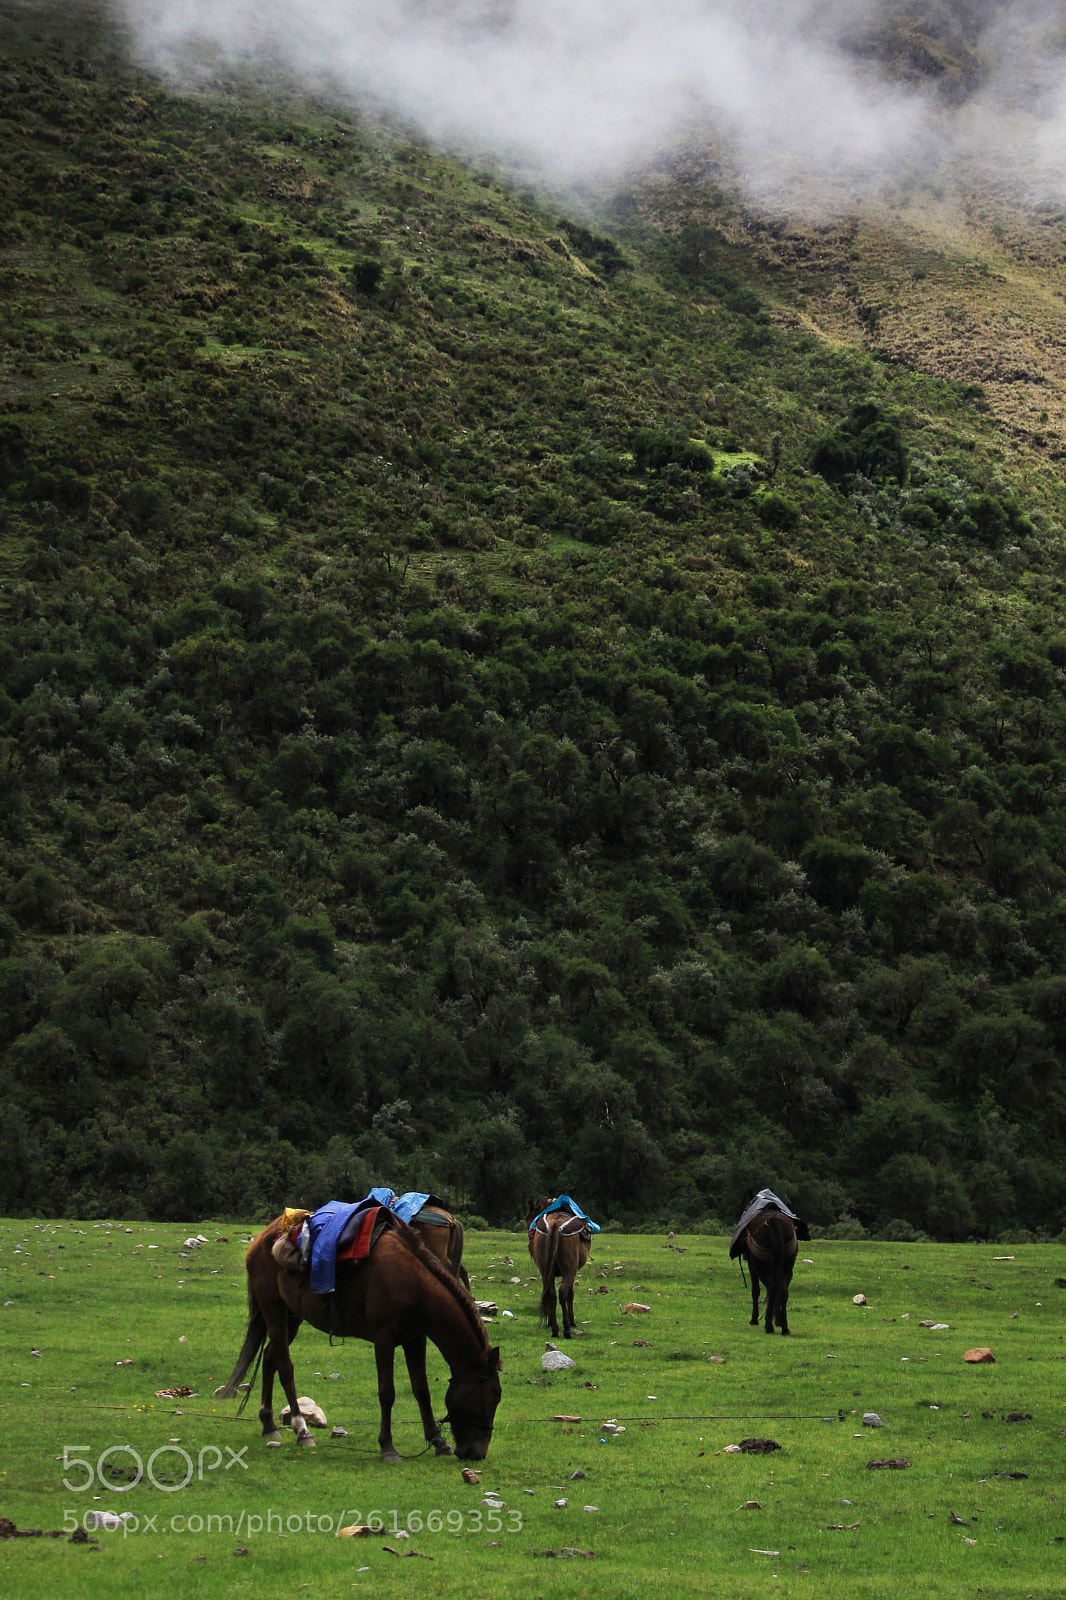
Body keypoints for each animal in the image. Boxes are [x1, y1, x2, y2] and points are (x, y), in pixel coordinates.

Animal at [215, 1211, 501, 1462]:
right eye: (492, 1398)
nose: (477, 1454)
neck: (413, 1282)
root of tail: (262, 1239)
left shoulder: (415, 1338)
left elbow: (422, 1390)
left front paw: (438, 1442)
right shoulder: (384, 1337)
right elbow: (387, 1393)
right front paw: (388, 1448)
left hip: (291, 1316)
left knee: (269, 1358)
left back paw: (269, 1424)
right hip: (273, 1308)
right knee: (284, 1366)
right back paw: (302, 1430)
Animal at [526, 1195, 593, 1340]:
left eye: (528, 1218)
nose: (530, 1239)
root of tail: (555, 1225)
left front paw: (550, 1321)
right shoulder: (572, 1272)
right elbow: (570, 1295)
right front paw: (572, 1321)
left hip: (545, 1270)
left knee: (551, 1293)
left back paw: (555, 1329)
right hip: (569, 1270)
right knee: (562, 1293)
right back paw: (566, 1329)